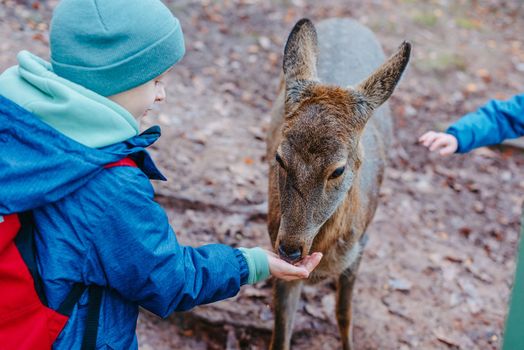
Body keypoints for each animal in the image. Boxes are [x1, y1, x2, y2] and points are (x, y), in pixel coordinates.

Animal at [266, 18, 410, 350]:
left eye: (338, 169)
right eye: (280, 157)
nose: (290, 249)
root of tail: (349, 21)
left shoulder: (361, 245)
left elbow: (344, 314)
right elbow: (280, 334)